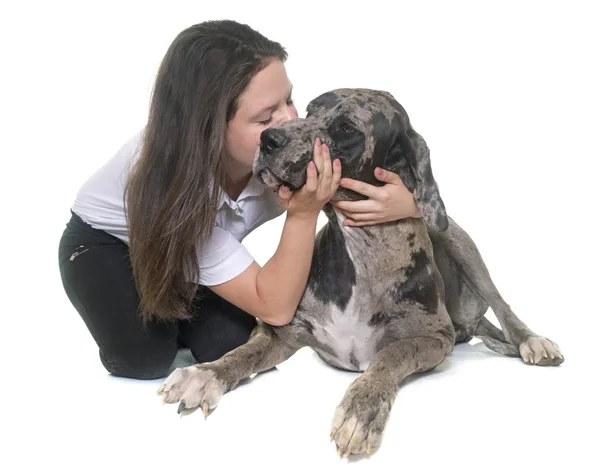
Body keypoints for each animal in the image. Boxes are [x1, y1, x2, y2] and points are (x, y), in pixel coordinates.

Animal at [157, 88, 564, 458]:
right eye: (309, 110)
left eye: (345, 128)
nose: (268, 138)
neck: (363, 250)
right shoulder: (282, 333)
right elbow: (243, 353)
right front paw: (204, 374)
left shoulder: (435, 338)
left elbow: (391, 355)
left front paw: (361, 411)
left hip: (459, 241)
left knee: (501, 305)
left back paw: (532, 341)